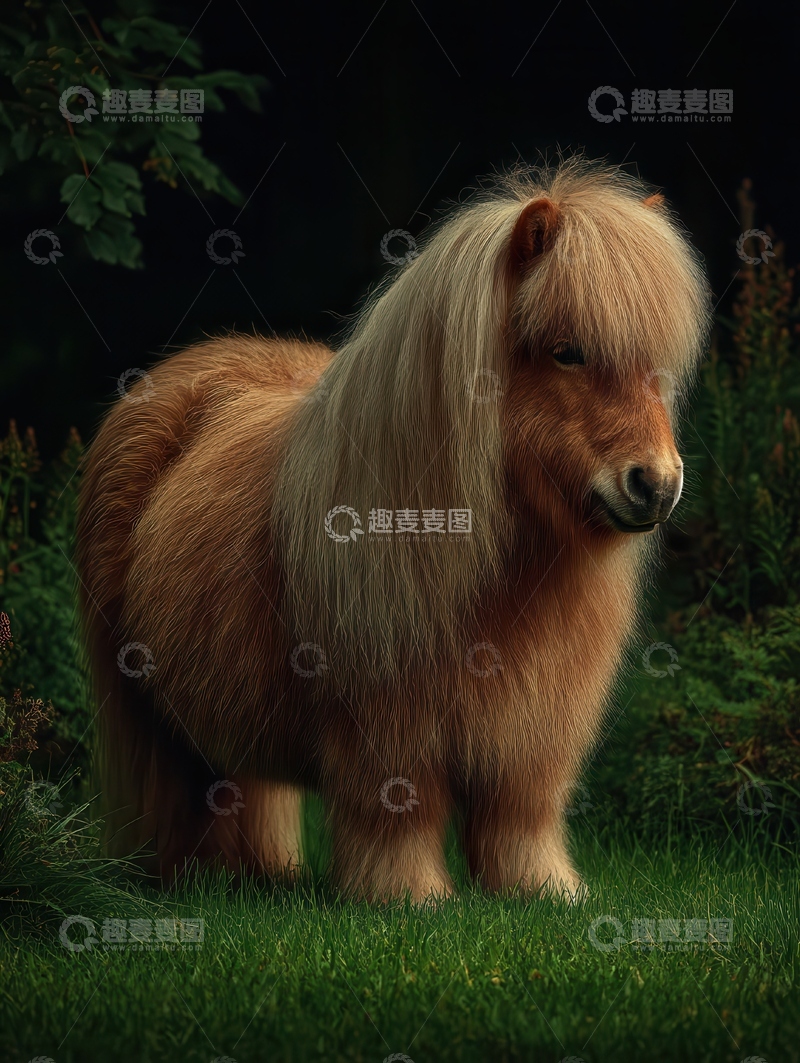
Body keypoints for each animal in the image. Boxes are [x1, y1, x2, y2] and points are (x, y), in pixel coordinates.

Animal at [76, 158, 710, 901]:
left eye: (656, 363)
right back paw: (178, 881)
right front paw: (410, 898)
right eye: (567, 352)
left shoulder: (534, 730)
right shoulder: (385, 725)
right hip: (141, 706)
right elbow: (397, 810)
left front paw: (544, 892)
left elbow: (521, 813)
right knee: (175, 788)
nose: (655, 484)